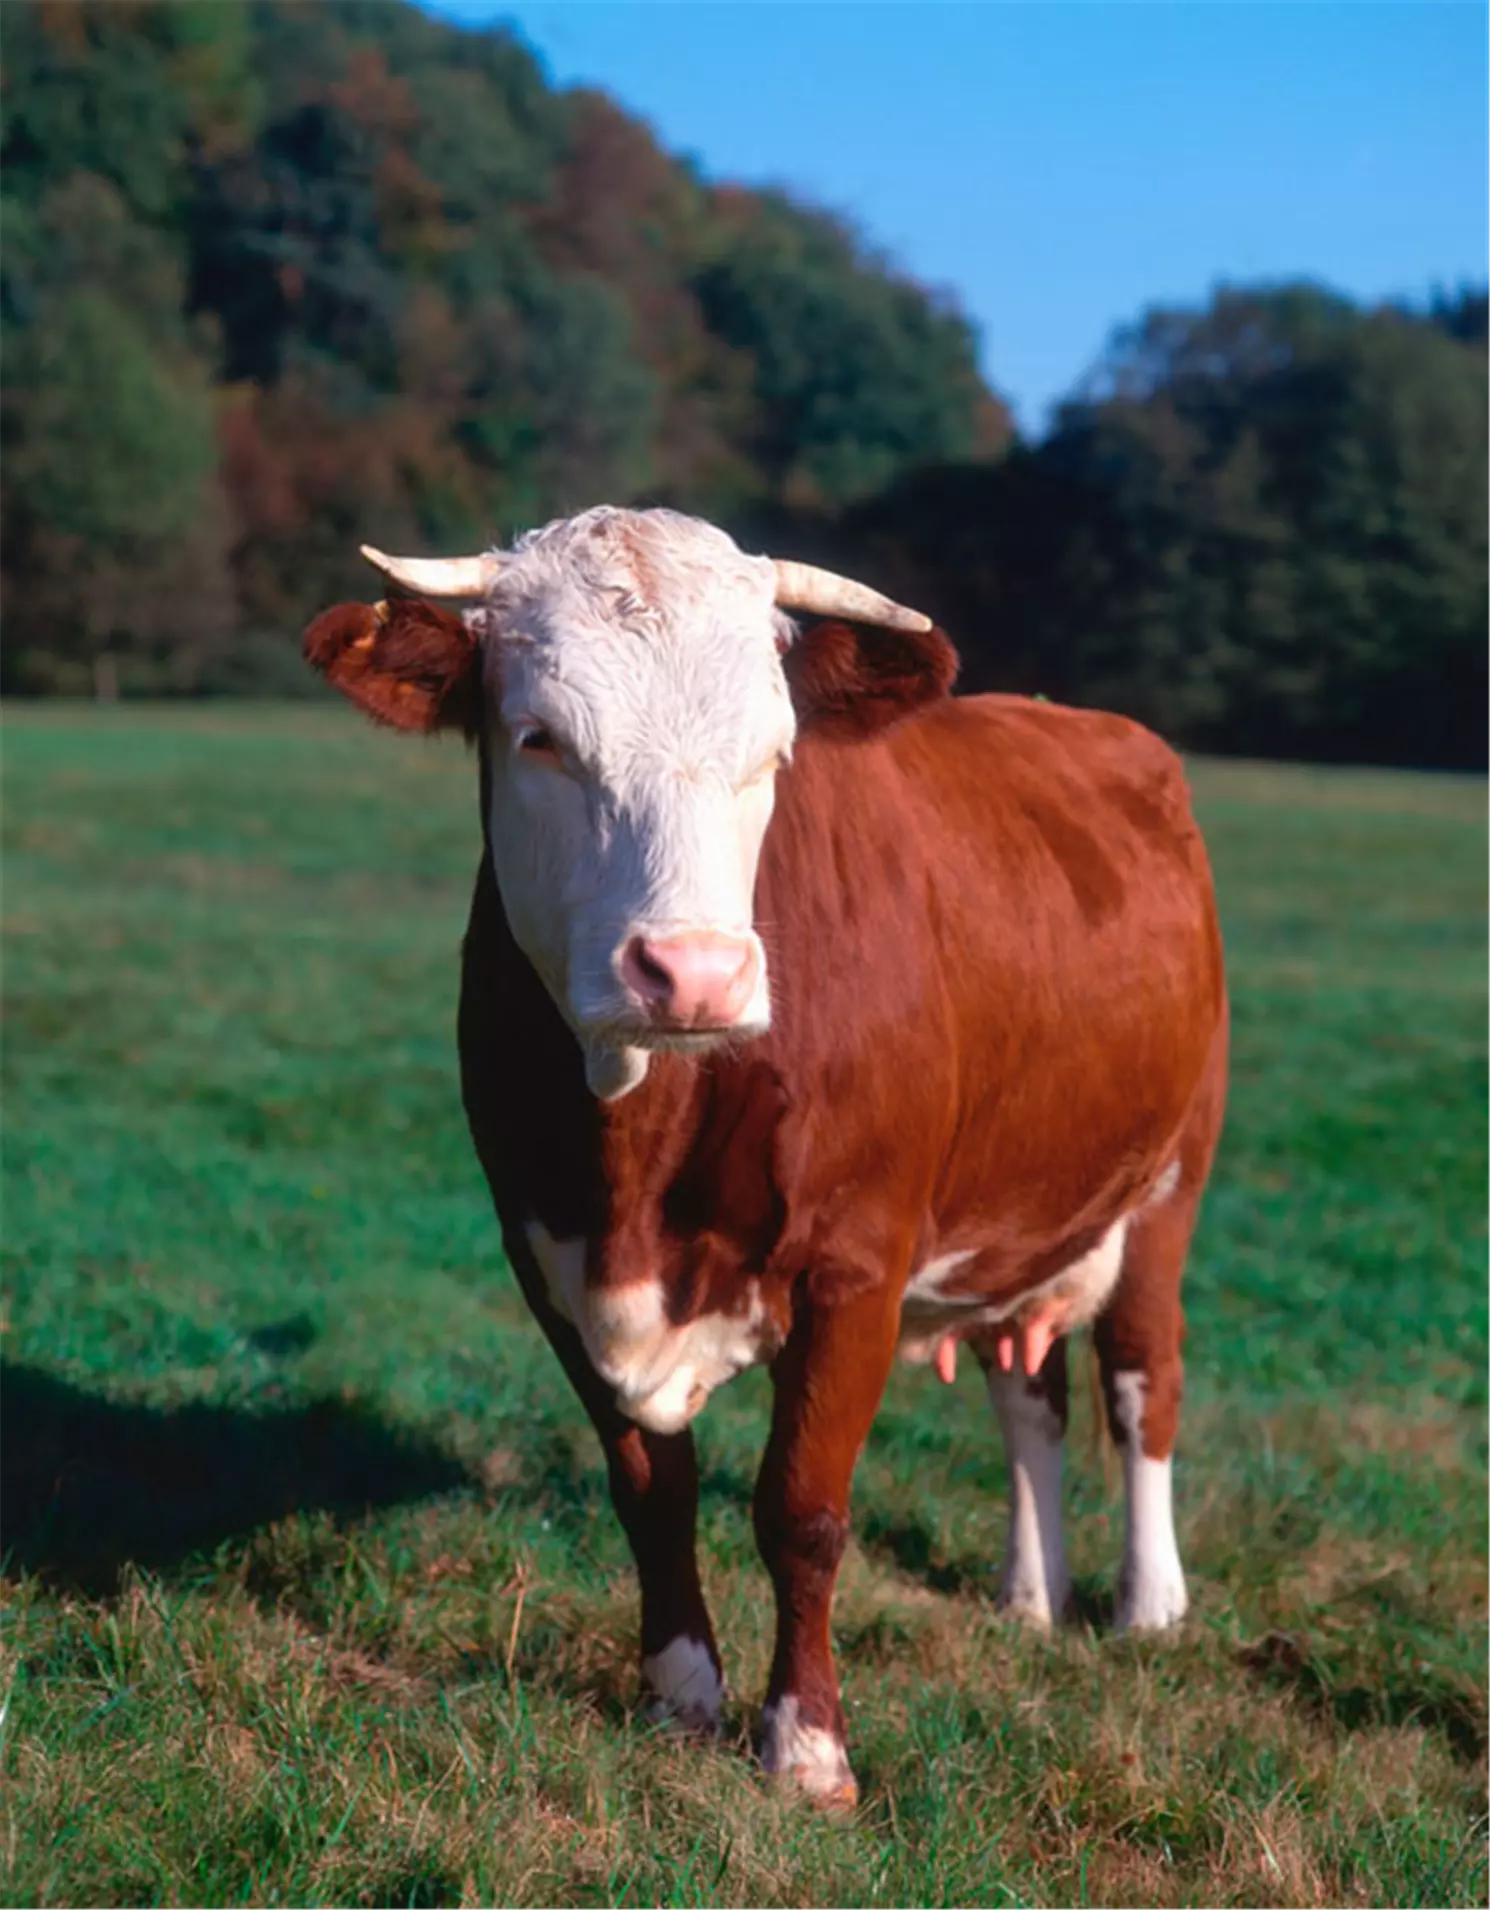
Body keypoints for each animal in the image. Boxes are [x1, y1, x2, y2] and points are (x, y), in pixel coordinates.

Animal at [301, 504, 1222, 1803]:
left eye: (773, 755)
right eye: (539, 737)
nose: (692, 971)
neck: (633, 1154)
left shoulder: (856, 1268)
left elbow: (801, 1505)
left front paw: (806, 1743)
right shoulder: (548, 1261)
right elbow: (652, 1493)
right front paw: (680, 1697)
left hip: (1166, 1182)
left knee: (1141, 1379)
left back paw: (1146, 1605)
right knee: (1026, 1393)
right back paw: (1025, 1595)